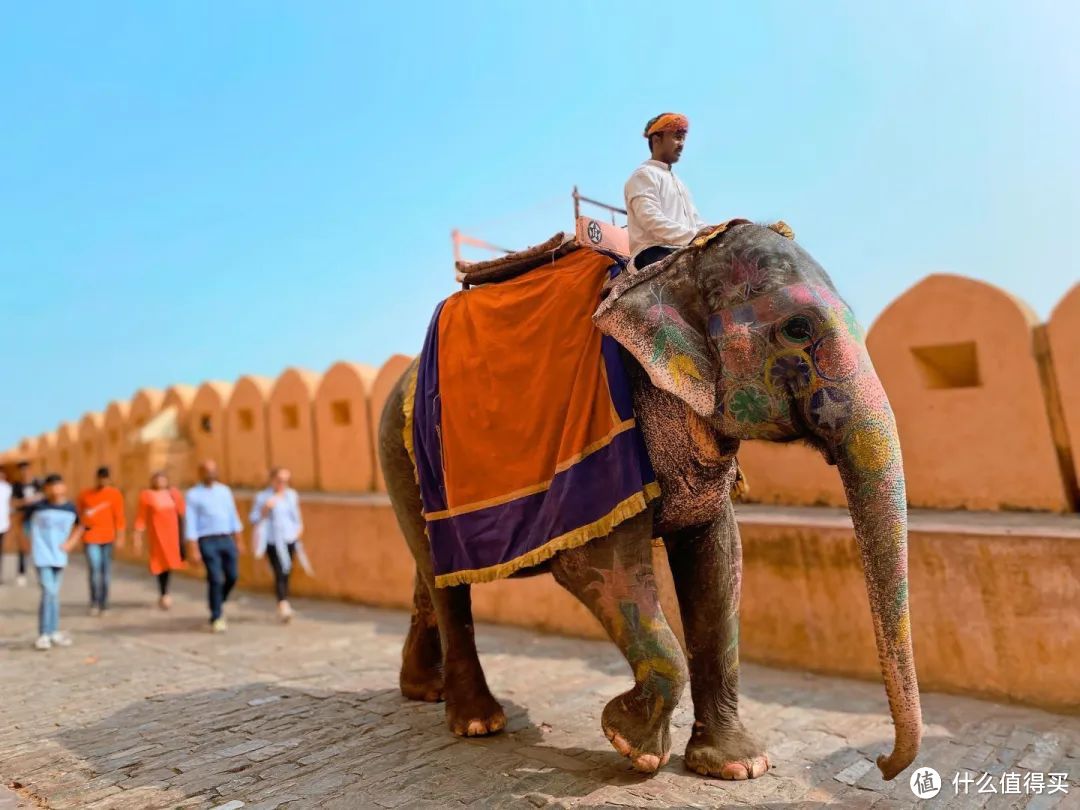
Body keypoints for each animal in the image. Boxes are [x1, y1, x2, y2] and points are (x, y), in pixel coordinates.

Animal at [378, 220, 920, 781]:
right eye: (797, 329)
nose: (883, 764)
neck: (670, 271)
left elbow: (719, 561)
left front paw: (738, 767)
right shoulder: (599, 451)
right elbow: (598, 564)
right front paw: (631, 746)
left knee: (434, 575)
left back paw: (423, 691)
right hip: (402, 453)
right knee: (447, 586)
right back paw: (478, 722)